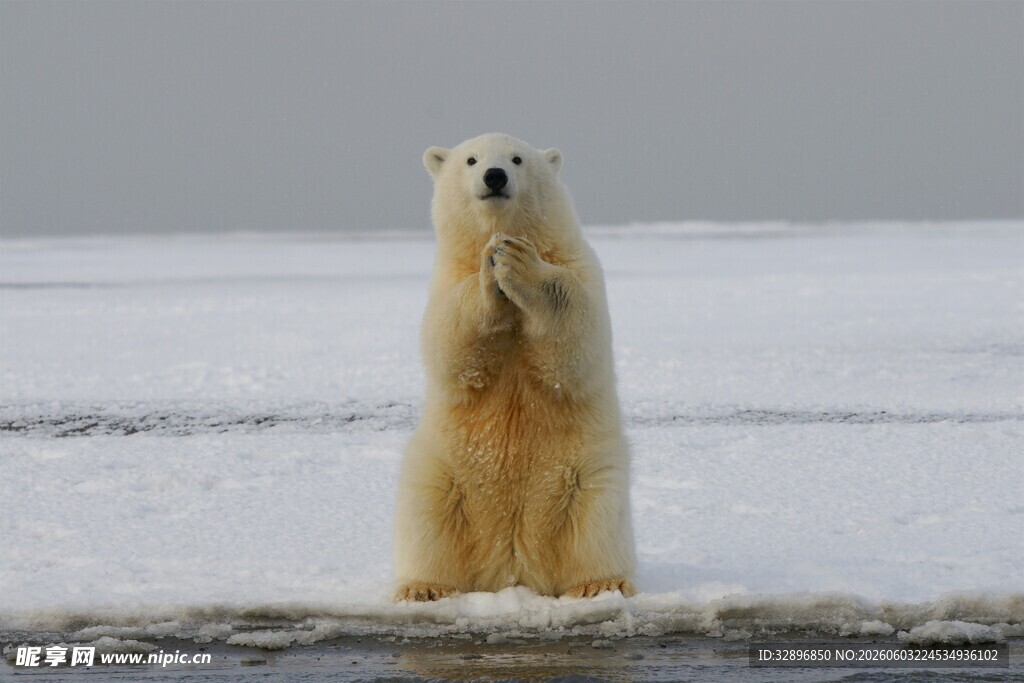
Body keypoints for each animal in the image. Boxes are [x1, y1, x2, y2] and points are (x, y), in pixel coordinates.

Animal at [394, 133, 635, 601]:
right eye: (471, 159)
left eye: (517, 158)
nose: (494, 175)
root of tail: (513, 568)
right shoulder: (446, 280)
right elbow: (450, 344)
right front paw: (492, 268)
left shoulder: (580, 265)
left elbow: (577, 337)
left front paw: (518, 262)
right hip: (443, 473)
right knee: (428, 518)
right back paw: (424, 588)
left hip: (586, 474)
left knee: (596, 523)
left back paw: (599, 583)